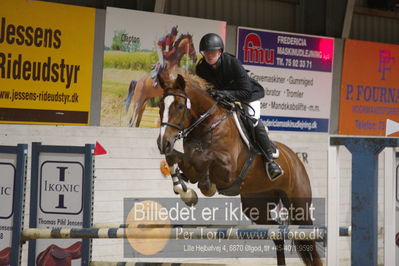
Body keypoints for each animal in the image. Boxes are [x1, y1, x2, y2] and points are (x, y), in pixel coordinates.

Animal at [158, 72, 324, 266]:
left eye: (179, 106)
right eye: (161, 105)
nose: (163, 143)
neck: (208, 124)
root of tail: (295, 158)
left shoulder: (227, 169)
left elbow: (204, 160)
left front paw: (205, 186)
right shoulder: (188, 159)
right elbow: (174, 158)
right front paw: (185, 191)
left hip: (299, 205)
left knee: (310, 241)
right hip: (256, 206)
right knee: (277, 234)